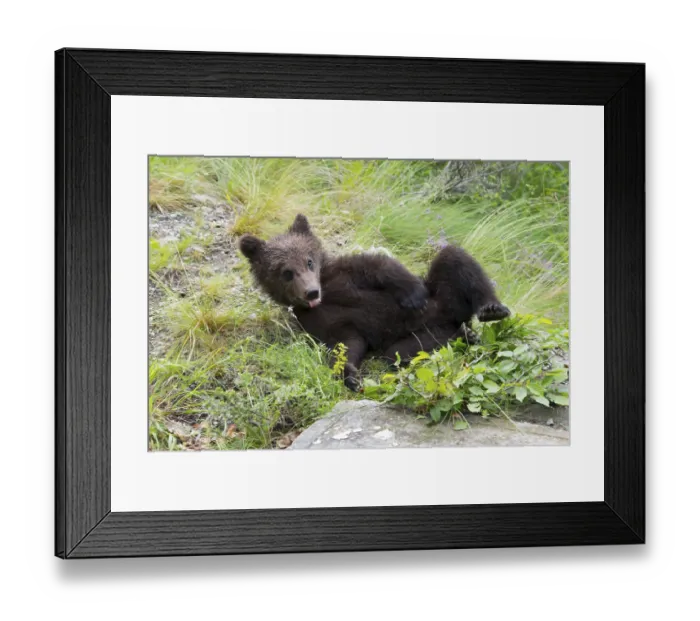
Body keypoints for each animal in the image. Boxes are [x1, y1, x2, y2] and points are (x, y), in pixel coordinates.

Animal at [239, 213, 510, 391]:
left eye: (309, 261)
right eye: (286, 272)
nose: (311, 293)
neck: (327, 294)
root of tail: (454, 316)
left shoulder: (345, 273)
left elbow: (381, 267)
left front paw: (414, 296)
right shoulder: (318, 321)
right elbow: (346, 343)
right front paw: (350, 375)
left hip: (446, 293)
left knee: (454, 258)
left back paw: (492, 309)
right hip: (422, 335)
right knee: (401, 352)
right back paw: (465, 335)